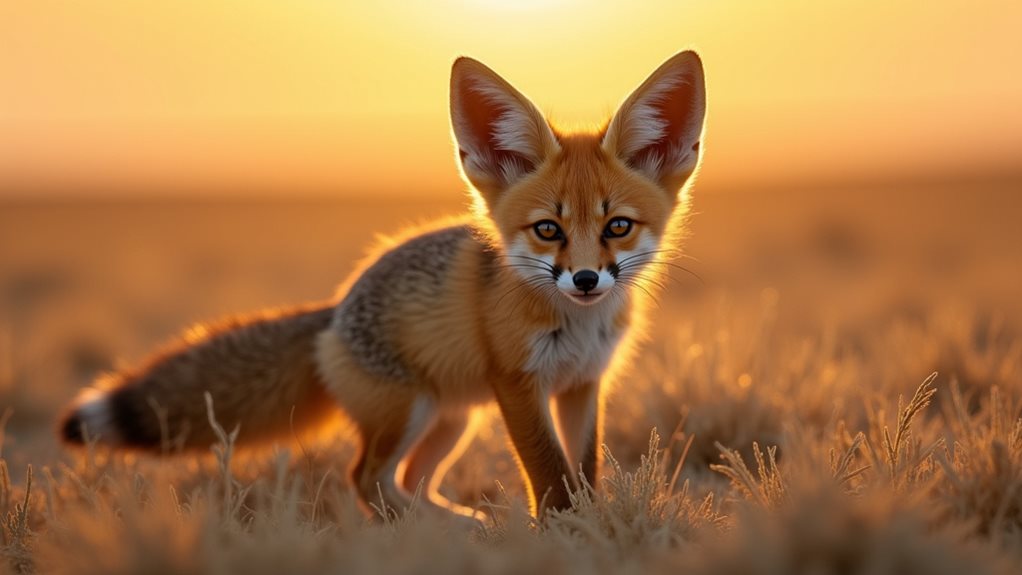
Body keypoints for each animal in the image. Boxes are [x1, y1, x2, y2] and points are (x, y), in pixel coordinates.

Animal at [59, 50, 707, 522]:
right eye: (548, 229)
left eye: (617, 227)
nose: (586, 278)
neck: (578, 325)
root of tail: (333, 310)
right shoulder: (520, 385)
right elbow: (549, 473)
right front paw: (564, 533)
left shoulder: (581, 385)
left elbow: (584, 471)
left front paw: (591, 526)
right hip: (411, 411)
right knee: (366, 480)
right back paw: (445, 534)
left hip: (453, 419)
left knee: (408, 480)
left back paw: (458, 530)